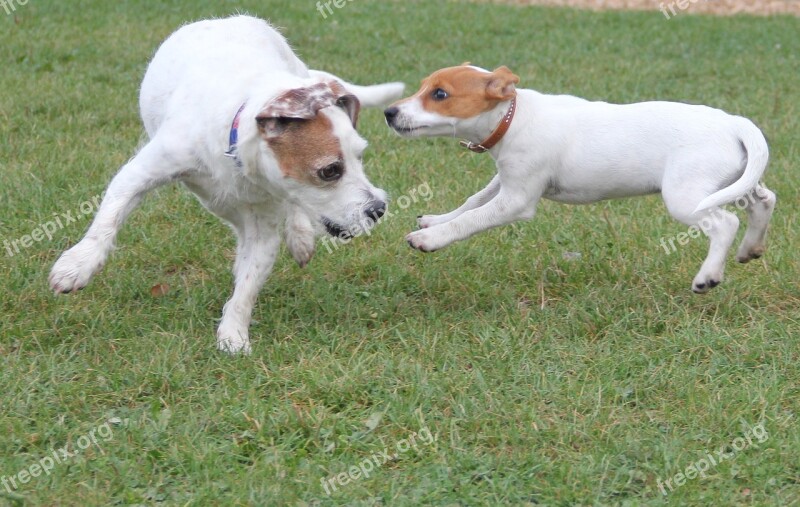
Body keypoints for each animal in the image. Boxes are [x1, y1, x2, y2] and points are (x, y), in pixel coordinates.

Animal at [48, 16, 406, 358]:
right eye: (331, 170)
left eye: (360, 156)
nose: (379, 209)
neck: (235, 147)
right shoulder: (140, 173)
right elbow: (107, 220)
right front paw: (78, 265)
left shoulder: (264, 230)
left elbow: (246, 287)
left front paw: (233, 334)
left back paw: (300, 235)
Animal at [386, 64, 776, 294]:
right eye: (423, 87)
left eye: (440, 94)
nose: (389, 112)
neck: (512, 115)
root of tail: (734, 123)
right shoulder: (507, 180)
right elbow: (472, 202)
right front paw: (435, 219)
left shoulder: (517, 200)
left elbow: (471, 219)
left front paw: (430, 238)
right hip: (737, 182)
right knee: (764, 202)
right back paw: (750, 249)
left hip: (686, 197)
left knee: (725, 223)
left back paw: (707, 276)